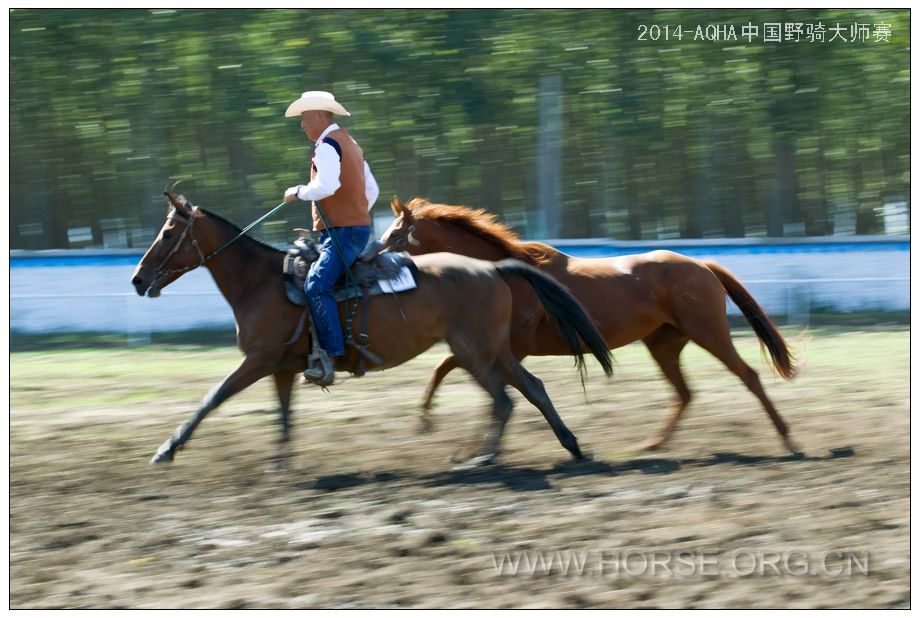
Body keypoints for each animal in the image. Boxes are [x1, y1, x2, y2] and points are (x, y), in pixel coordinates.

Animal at [129, 192, 612, 466]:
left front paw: (166, 449)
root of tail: (492, 268)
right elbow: (284, 416)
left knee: (503, 400)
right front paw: (281, 465)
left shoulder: (258, 360)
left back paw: (484, 458)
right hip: (495, 350)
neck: (261, 282)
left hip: (474, 352)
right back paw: (571, 447)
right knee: (532, 389)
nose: (137, 278)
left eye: (169, 233)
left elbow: (212, 398)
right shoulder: (281, 367)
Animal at [380, 197, 796, 452]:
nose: (372, 257)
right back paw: (652, 444)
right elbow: (448, 370)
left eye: (396, 236)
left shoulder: (506, 348)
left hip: (709, 333)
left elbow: (452, 371)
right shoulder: (497, 349)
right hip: (664, 344)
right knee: (685, 394)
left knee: (748, 377)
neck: (506, 275)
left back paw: (787, 439)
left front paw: (432, 424)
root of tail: (701, 265)